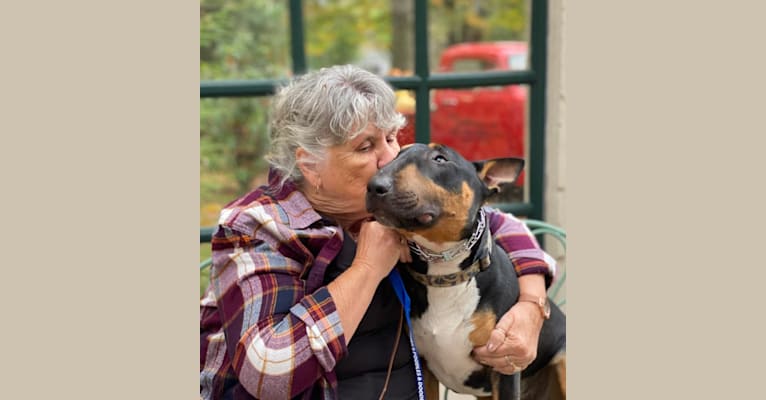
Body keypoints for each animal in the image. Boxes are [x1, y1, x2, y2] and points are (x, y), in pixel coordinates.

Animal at [366, 142, 568, 398]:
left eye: (440, 159)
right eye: (396, 155)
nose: (374, 186)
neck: (445, 273)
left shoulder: (505, 365)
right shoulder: (425, 368)